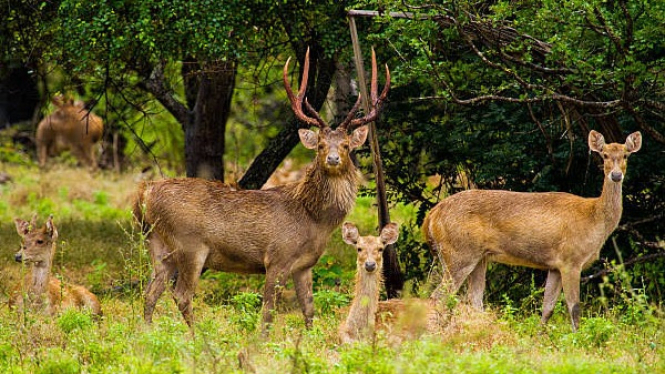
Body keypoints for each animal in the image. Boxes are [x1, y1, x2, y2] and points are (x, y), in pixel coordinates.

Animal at [134, 47, 390, 330]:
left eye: (345, 145)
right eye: (321, 145)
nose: (332, 159)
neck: (314, 221)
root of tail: (146, 193)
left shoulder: (305, 265)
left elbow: (308, 309)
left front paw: (310, 336)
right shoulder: (277, 257)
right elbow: (268, 311)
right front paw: (263, 338)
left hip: (157, 244)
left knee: (150, 291)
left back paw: (147, 332)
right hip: (190, 244)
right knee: (180, 294)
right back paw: (198, 335)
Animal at [422, 131, 640, 330]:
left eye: (626, 155)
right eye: (604, 155)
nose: (616, 175)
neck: (593, 219)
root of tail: (432, 215)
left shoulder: (555, 266)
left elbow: (548, 308)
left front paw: (540, 337)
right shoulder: (571, 260)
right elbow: (574, 308)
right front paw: (576, 339)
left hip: (478, 258)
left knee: (473, 300)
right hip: (459, 253)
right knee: (438, 296)